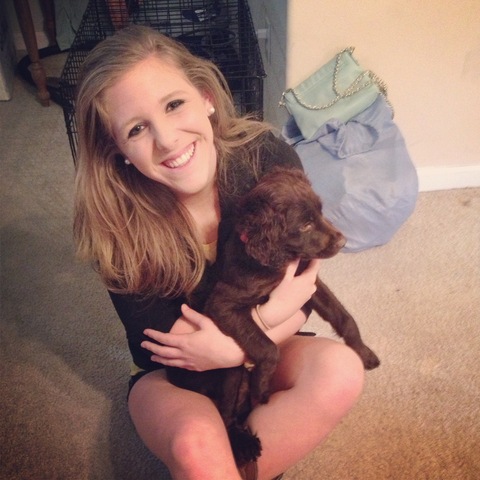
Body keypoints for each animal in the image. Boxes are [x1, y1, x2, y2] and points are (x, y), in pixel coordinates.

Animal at [167, 167, 380, 466]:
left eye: (320, 212)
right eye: (305, 225)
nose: (343, 241)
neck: (272, 261)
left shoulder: (307, 283)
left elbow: (343, 316)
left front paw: (363, 352)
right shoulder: (223, 304)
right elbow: (268, 349)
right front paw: (260, 387)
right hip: (228, 372)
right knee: (225, 413)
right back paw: (243, 442)